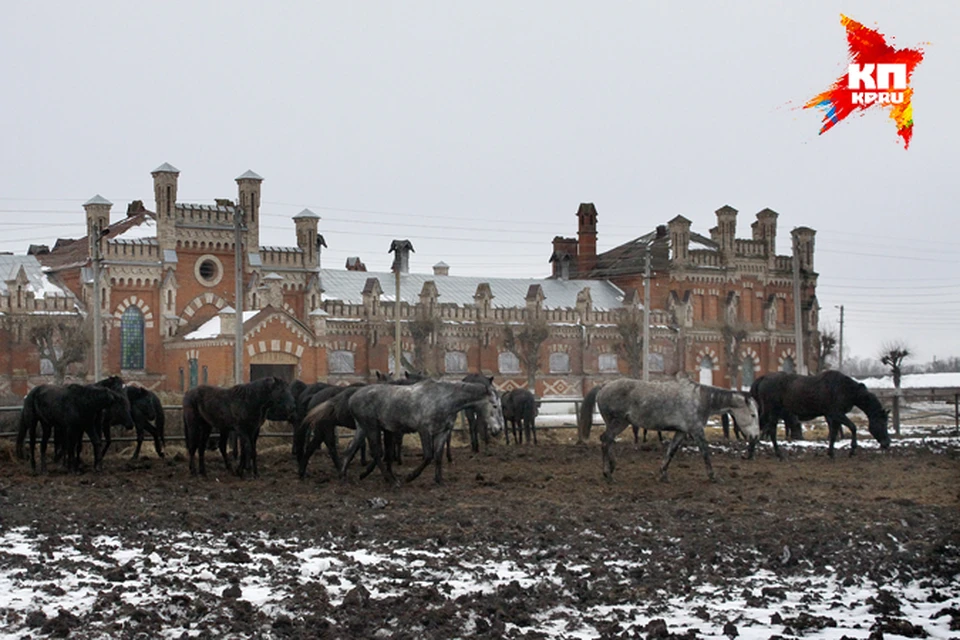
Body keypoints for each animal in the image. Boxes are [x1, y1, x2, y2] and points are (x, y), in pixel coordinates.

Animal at [342, 380, 506, 484]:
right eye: (494, 405)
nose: (499, 429)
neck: (443, 399)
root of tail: (352, 398)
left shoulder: (442, 432)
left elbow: (438, 456)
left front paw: (439, 480)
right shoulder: (424, 430)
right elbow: (428, 456)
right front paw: (410, 477)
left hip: (363, 428)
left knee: (350, 450)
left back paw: (345, 477)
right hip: (372, 428)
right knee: (376, 453)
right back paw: (391, 481)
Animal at [576, 378, 756, 482]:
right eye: (753, 415)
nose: (755, 437)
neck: (699, 399)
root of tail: (604, 386)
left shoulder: (682, 432)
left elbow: (671, 451)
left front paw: (663, 473)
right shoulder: (696, 430)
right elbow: (705, 452)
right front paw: (713, 476)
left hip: (618, 423)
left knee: (608, 441)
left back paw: (611, 468)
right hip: (619, 422)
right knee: (606, 440)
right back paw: (608, 473)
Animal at [752, 370, 892, 460]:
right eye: (881, 422)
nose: (887, 443)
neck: (846, 389)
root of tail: (763, 378)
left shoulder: (833, 416)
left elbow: (834, 434)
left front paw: (831, 453)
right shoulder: (837, 414)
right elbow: (853, 427)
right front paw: (852, 450)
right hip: (771, 410)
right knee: (767, 429)